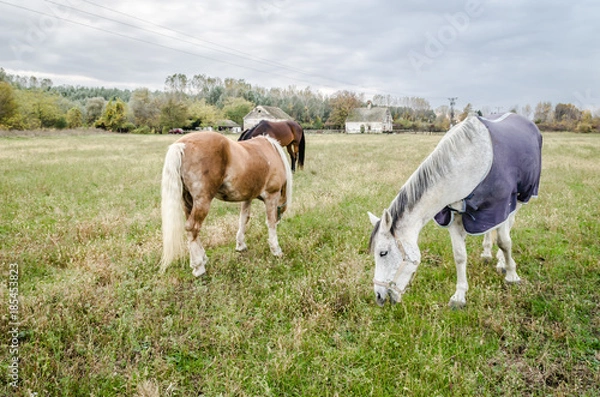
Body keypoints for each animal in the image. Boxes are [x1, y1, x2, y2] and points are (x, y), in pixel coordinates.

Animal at [159, 130, 290, 276]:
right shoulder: (272, 196)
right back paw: (199, 267)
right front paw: (276, 249)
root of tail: (181, 145)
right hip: (202, 202)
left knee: (191, 230)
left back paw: (202, 258)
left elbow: (243, 219)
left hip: (188, 202)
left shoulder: (247, 197)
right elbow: (270, 222)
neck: (271, 152)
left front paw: (240, 245)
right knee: (193, 228)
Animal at [368, 113, 540, 308]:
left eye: (383, 253)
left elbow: (504, 242)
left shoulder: (502, 206)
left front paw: (512, 275)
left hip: (520, 197)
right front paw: (459, 296)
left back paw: (502, 262)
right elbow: (459, 255)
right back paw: (487, 254)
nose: (379, 296)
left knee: (509, 226)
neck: (468, 162)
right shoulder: (453, 216)